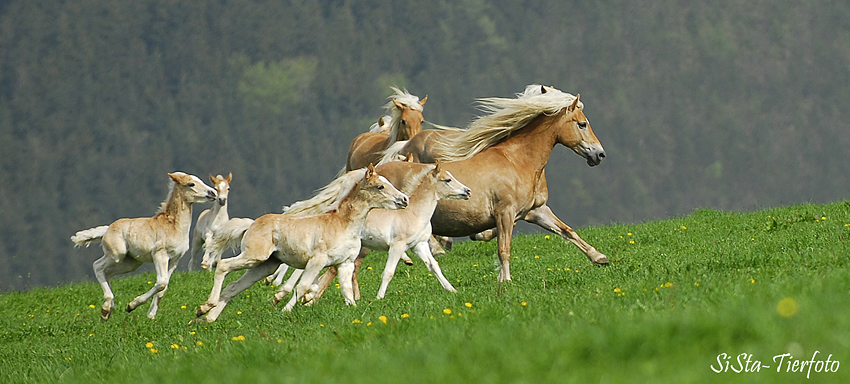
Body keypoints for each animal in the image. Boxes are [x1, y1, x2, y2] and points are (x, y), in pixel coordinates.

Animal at [71, 172, 215, 320]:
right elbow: (162, 282)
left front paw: (151, 315)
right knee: (98, 266)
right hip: (117, 254)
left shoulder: (175, 259)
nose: (213, 193)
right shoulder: (159, 254)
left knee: (108, 272)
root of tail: (106, 230)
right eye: (191, 184)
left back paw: (108, 310)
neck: (174, 226)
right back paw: (106, 308)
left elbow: (164, 287)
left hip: (131, 263)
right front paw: (131, 305)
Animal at [380, 84, 608, 282]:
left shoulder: (536, 211)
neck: (516, 160)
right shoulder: (505, 213)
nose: (600, 154)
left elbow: (567, 231)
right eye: (582, 124)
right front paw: (505, 280)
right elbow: (503, 248)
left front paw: (599, 257)